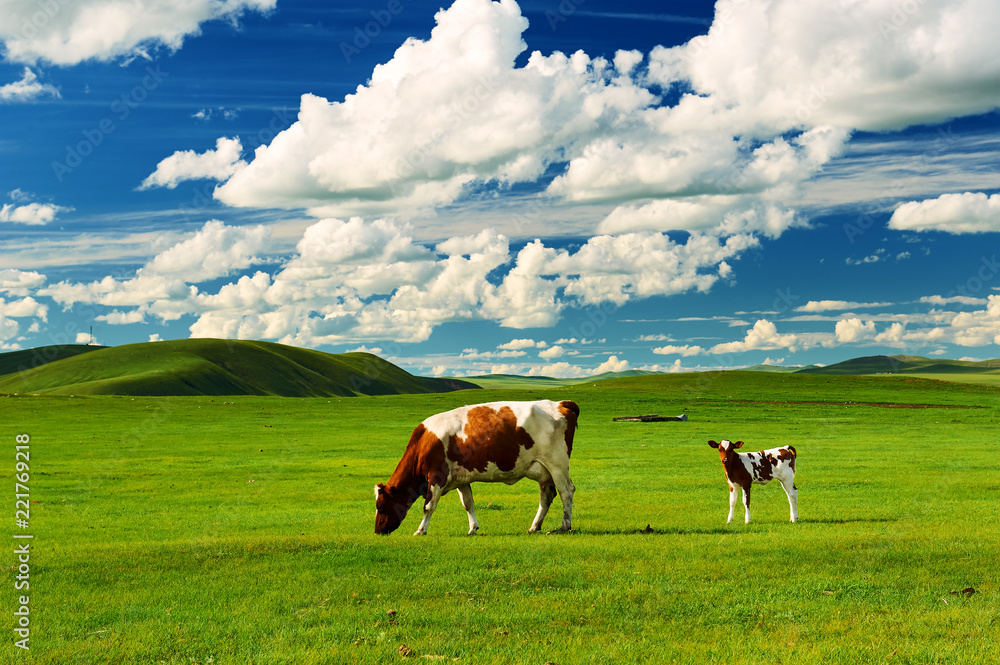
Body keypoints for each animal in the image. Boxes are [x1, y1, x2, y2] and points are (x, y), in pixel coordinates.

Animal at [374, 400, 580, 536]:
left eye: (381, 506)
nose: (377, 531)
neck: (424, 441)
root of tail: (560, 403)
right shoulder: (460, 479)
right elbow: (468, 502)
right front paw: (473, 528)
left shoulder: (437, 476)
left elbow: (428, 506)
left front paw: (421, 530)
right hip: (543, 471)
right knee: (546, 496)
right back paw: (535, 526)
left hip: (557, 464)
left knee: (566, 491)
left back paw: (564, 526)